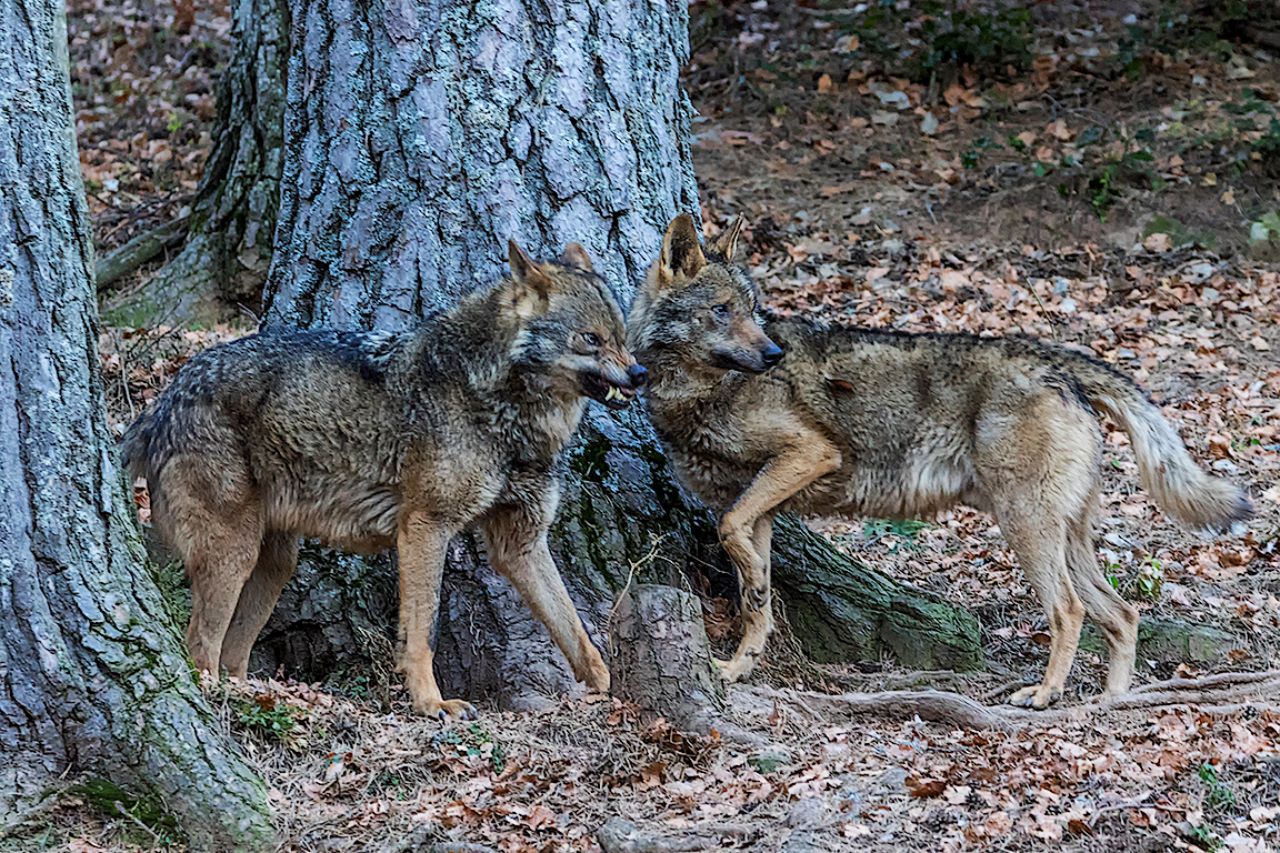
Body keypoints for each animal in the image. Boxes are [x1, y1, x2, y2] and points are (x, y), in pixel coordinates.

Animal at [123, 242, 644, 719]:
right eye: (591, 339)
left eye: (622, 337)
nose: (639, 373)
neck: (501, 406)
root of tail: (165, 399)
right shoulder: (425, 528)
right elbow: (421, 631)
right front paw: (431, 704)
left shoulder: (521, 544)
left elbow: (575, 630)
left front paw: (607, 690)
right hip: (235, 554)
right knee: (199, 646)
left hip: (274, 564)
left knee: (233, 654)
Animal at [628, 214, 1252, 708]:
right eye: (721, 311)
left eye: (753, 312)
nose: (774, 354)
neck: (697, 393)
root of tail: (1058, 360)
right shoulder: (759, 508)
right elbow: (752, 590)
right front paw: (738, 664)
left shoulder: (807, 455)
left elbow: (727, 529)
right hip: (1064, 536)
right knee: (1123, 615)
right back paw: (1112, 702)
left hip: (1026, 529)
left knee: (1070, 611)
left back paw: (1046, 694)